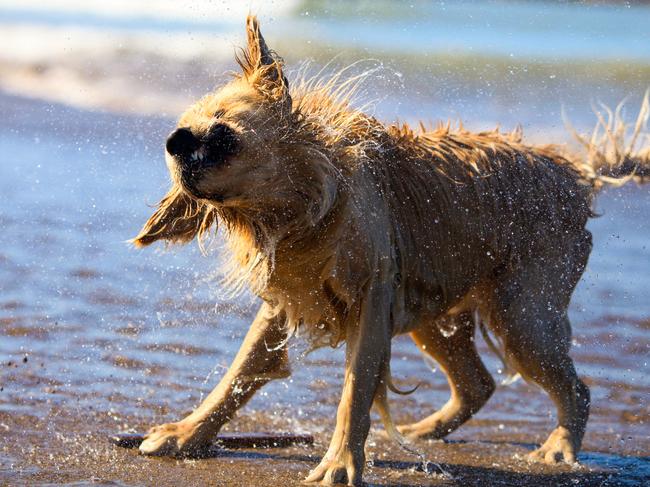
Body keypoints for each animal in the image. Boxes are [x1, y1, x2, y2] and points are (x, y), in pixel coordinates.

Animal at [129, 16, 644, 487]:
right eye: (181, 132)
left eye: (222, 133)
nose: (173, 142)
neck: (305, 210)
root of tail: (577, 174)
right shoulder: (287, 299)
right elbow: (239, 371)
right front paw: (188, 433)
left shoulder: (371, 300)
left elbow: (355, 391)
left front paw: (339, 464)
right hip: (435, 309)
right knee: (478, 382)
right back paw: (426, 431)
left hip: (521, 314)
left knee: (576, 388)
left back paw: (560, 447)